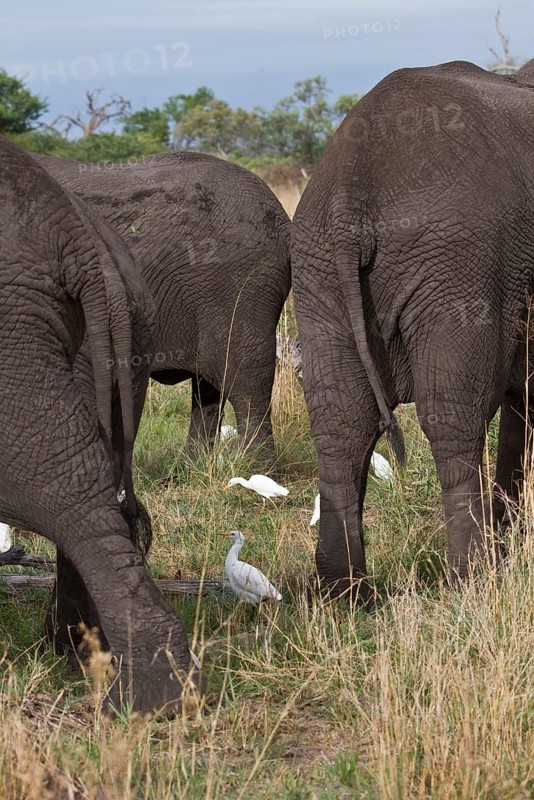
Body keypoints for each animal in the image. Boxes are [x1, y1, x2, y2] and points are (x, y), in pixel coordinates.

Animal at [35, 151, 291, 461]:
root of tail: (282, 219)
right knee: (208, 386)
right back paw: (191, 466)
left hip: (241, 284)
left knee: (244, 378)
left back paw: (256, 466)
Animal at [291, 59, 534, 601]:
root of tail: (352, 189)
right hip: (461, 266)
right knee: (454, 417)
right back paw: (475, 580)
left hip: (317, 272)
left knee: (339, 422)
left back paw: (343, 594)